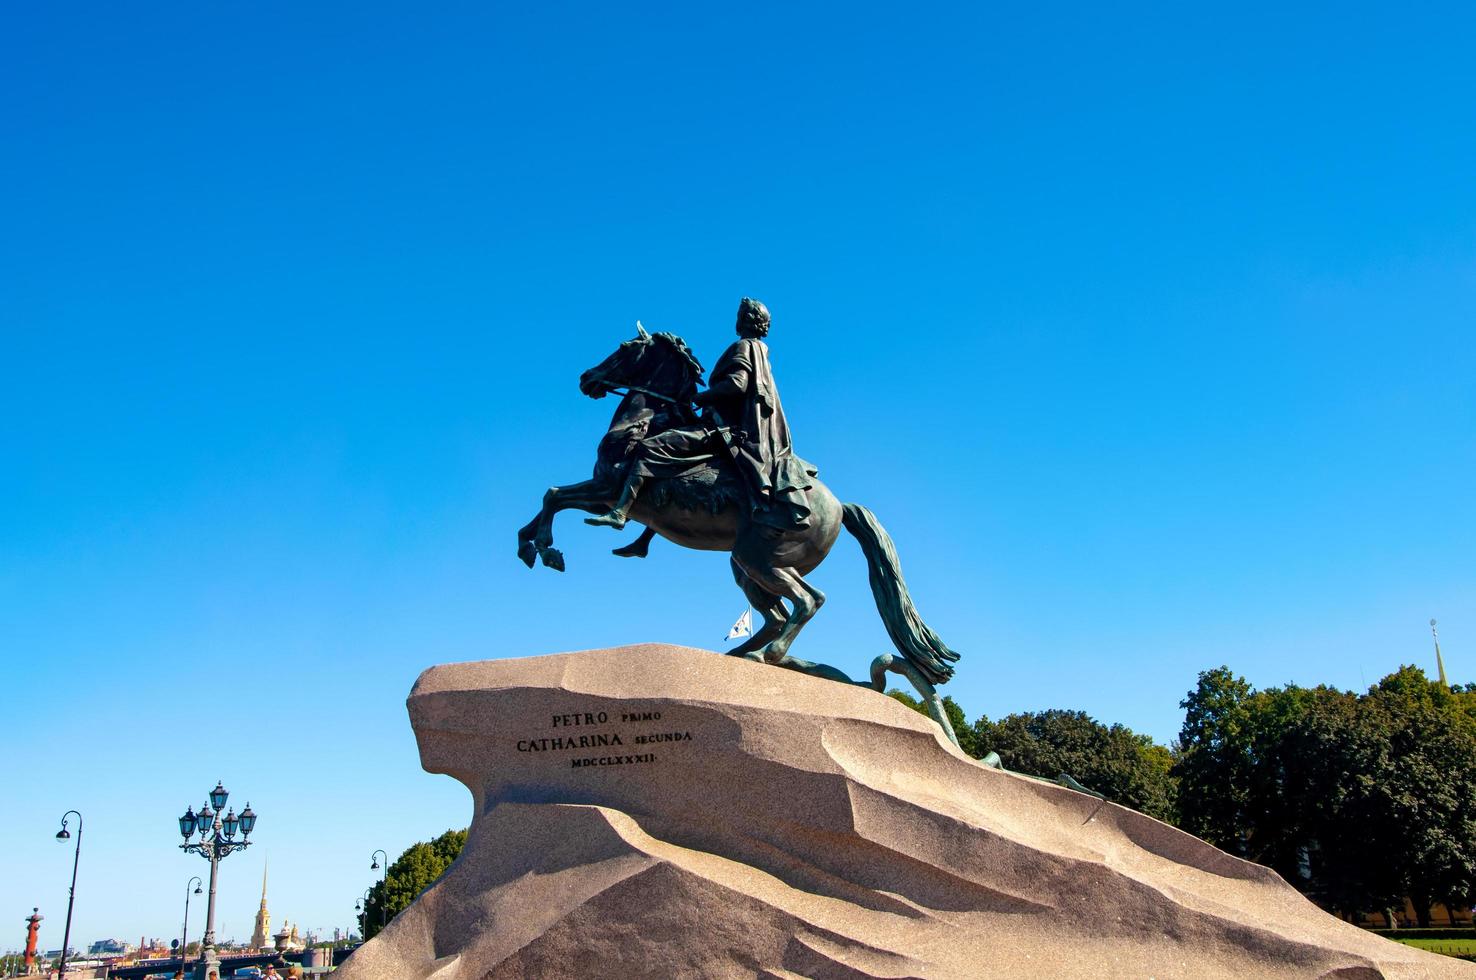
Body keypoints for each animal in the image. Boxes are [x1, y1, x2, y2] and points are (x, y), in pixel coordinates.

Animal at [516, 324, 968, 737]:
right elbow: (549, 499)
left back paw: (764, 656)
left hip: (760, 560)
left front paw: (548, 548)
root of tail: (840, 506)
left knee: (808, 601)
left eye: (626, 348)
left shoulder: (608, 488)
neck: (645, 422)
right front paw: (530, 546)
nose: (587, 379)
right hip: (746, 565)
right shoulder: (601, 489)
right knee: (778, 615)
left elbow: (559, 496)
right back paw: (747, 655)